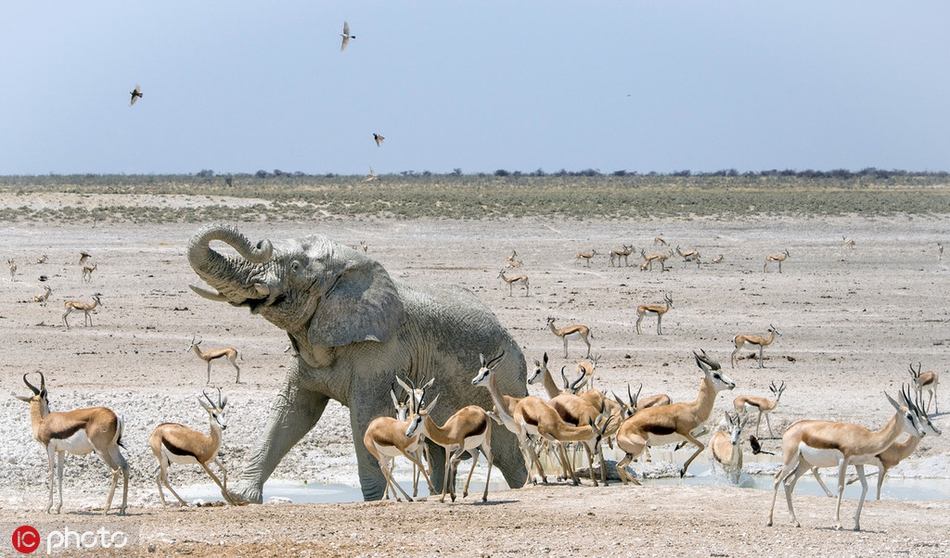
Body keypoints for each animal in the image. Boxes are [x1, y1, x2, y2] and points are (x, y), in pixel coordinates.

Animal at [186, 223, 528, 504]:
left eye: (294, 266)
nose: (261, 241)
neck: (349, 271)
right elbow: (292, 412)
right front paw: (239, 497)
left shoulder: (383, 351)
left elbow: (365, 417)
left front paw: (375, 499)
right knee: (438, 451)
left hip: (507, 380)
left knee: (508, 455)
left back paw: (522, 487)